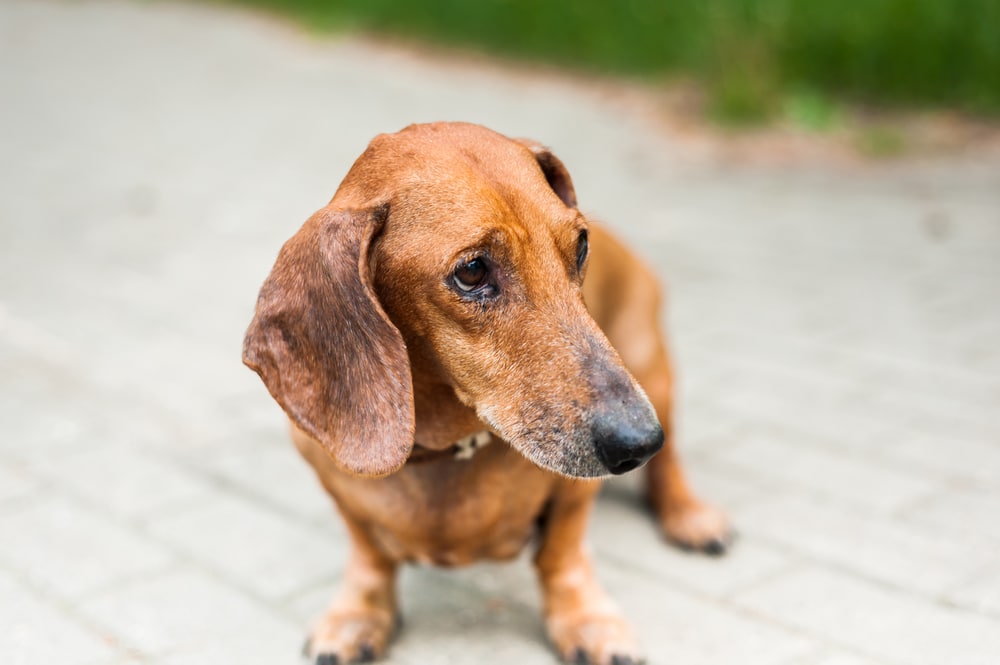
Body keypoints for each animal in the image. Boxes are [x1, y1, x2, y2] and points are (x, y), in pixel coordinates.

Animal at [242, 122, 728, 660]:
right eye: (472, 271)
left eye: (581, 244)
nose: (639, 442)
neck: (448, 447)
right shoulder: (335, 486)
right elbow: (369, 555)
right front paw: (357, 613)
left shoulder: (575, 496)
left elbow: (562, 555)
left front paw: (587, 621)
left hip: (651, 367)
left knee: (672, 460)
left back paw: (689, 514)